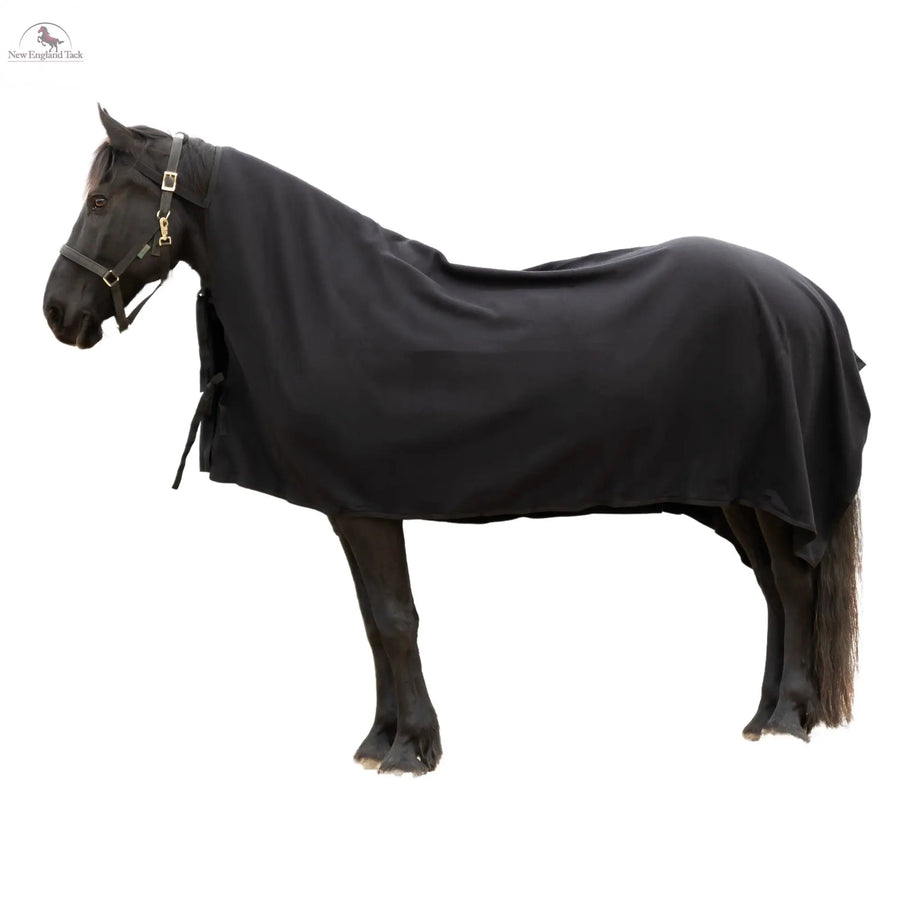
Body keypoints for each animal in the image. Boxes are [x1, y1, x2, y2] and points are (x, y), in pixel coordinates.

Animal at [42, 107, 869, 775]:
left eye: (99, 200)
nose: (57, 312)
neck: (332, 300)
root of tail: (806, 294)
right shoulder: (350, 507)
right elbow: (375, 622)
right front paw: (380, 741)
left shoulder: (369, 505)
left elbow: (394, 618)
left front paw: (412, 749)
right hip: (738, 494)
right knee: (773, 587)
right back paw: (762, 716)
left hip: (770, 486)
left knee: (794, 583)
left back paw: (788, 719)